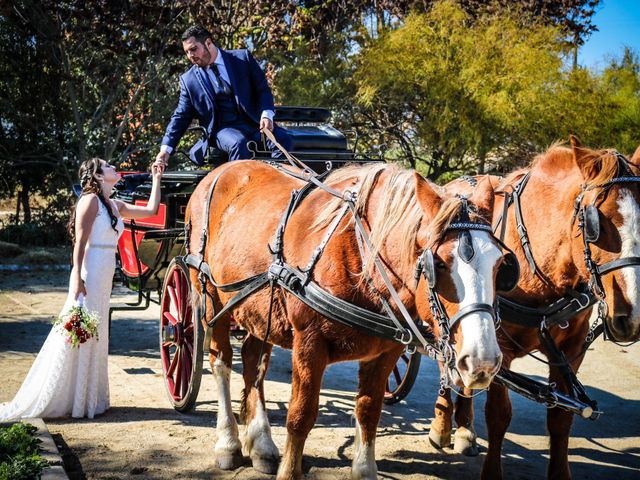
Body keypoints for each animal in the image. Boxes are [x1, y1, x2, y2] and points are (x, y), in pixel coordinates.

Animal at [184, 159, 510, 478]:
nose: (482, 361)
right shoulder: (309, 343)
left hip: (259, 312)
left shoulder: (387, 350)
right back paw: (227, 443)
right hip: (211, 299)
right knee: (221, 362)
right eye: (438, 264)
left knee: (254, 363)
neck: (362, 259)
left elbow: (368, 411)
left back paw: (261, 444)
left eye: (501, 265)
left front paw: (363, 469)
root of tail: (219, 171)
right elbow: (300, 415)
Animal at [436, 137, 640, 478]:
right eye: (594, 221)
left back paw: (464, 429)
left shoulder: (571, 349)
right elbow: (499, 414)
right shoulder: (499, 346)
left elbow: (561, 419)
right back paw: (440, 428)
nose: (631, 315)